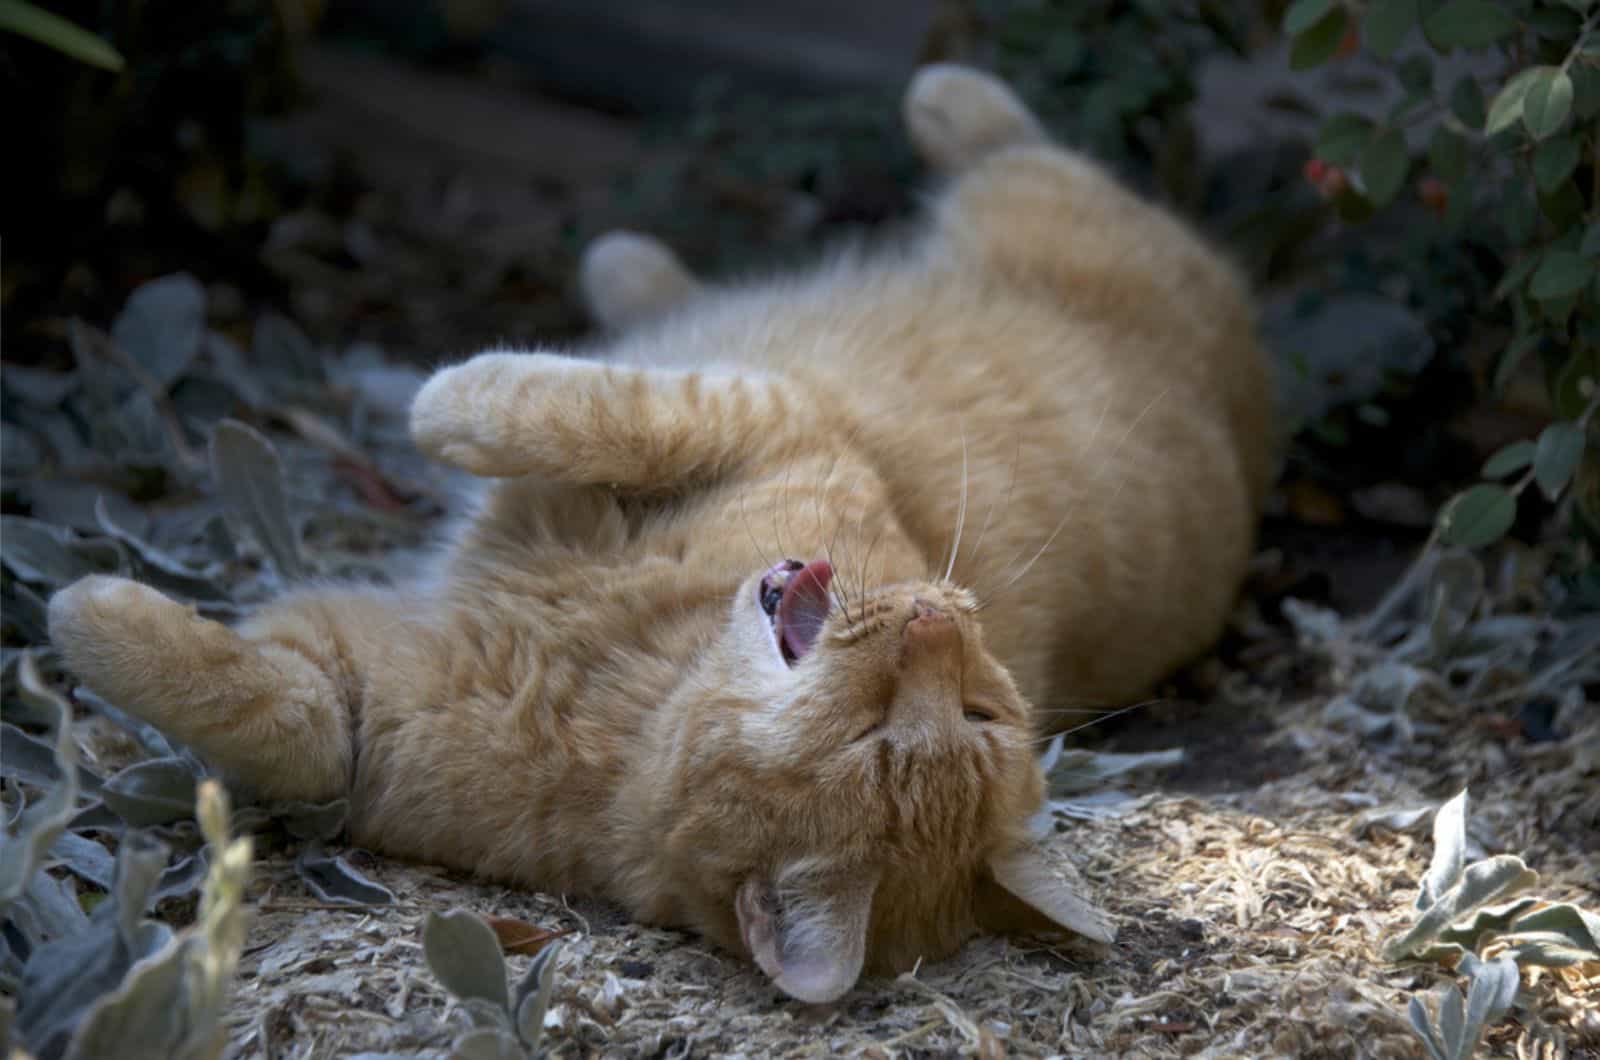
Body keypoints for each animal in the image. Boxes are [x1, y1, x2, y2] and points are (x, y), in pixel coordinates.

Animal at [46, 64, 1273, 1005]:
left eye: (918, 725)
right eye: (981, 707)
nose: (934, 614)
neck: (620, 691)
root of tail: (1255, 407)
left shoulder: (366, 720)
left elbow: (291, 712)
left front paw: (80, 612)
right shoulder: (754, 414)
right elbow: (580, 408)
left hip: (1039, 208)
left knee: (1014, 148)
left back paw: (927, 102)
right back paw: (644, 267)